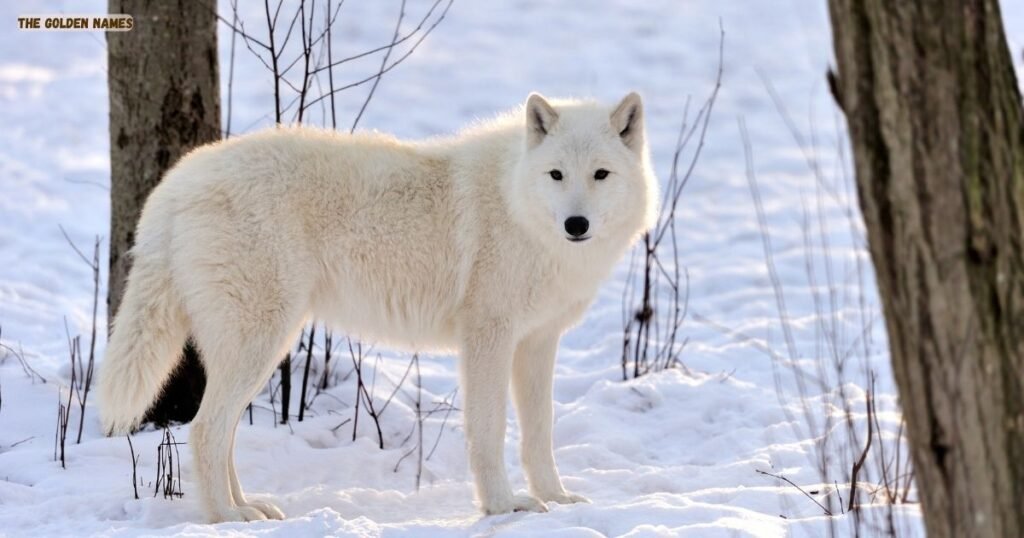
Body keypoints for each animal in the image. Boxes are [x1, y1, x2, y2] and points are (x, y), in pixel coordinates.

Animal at [97, 92, 658, 523]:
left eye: (601, 174)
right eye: (557, 175)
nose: (576, 224)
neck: (516, 204)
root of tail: (175, 184)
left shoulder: (538, 343)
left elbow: (540, 434)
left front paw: (555, 499)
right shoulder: (488, 338)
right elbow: (489, 431)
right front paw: (503, 507)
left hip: (257, 347)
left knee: (221, 433)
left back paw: (248, 507)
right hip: (262, 341)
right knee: (205, 429)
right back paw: (227, 519)